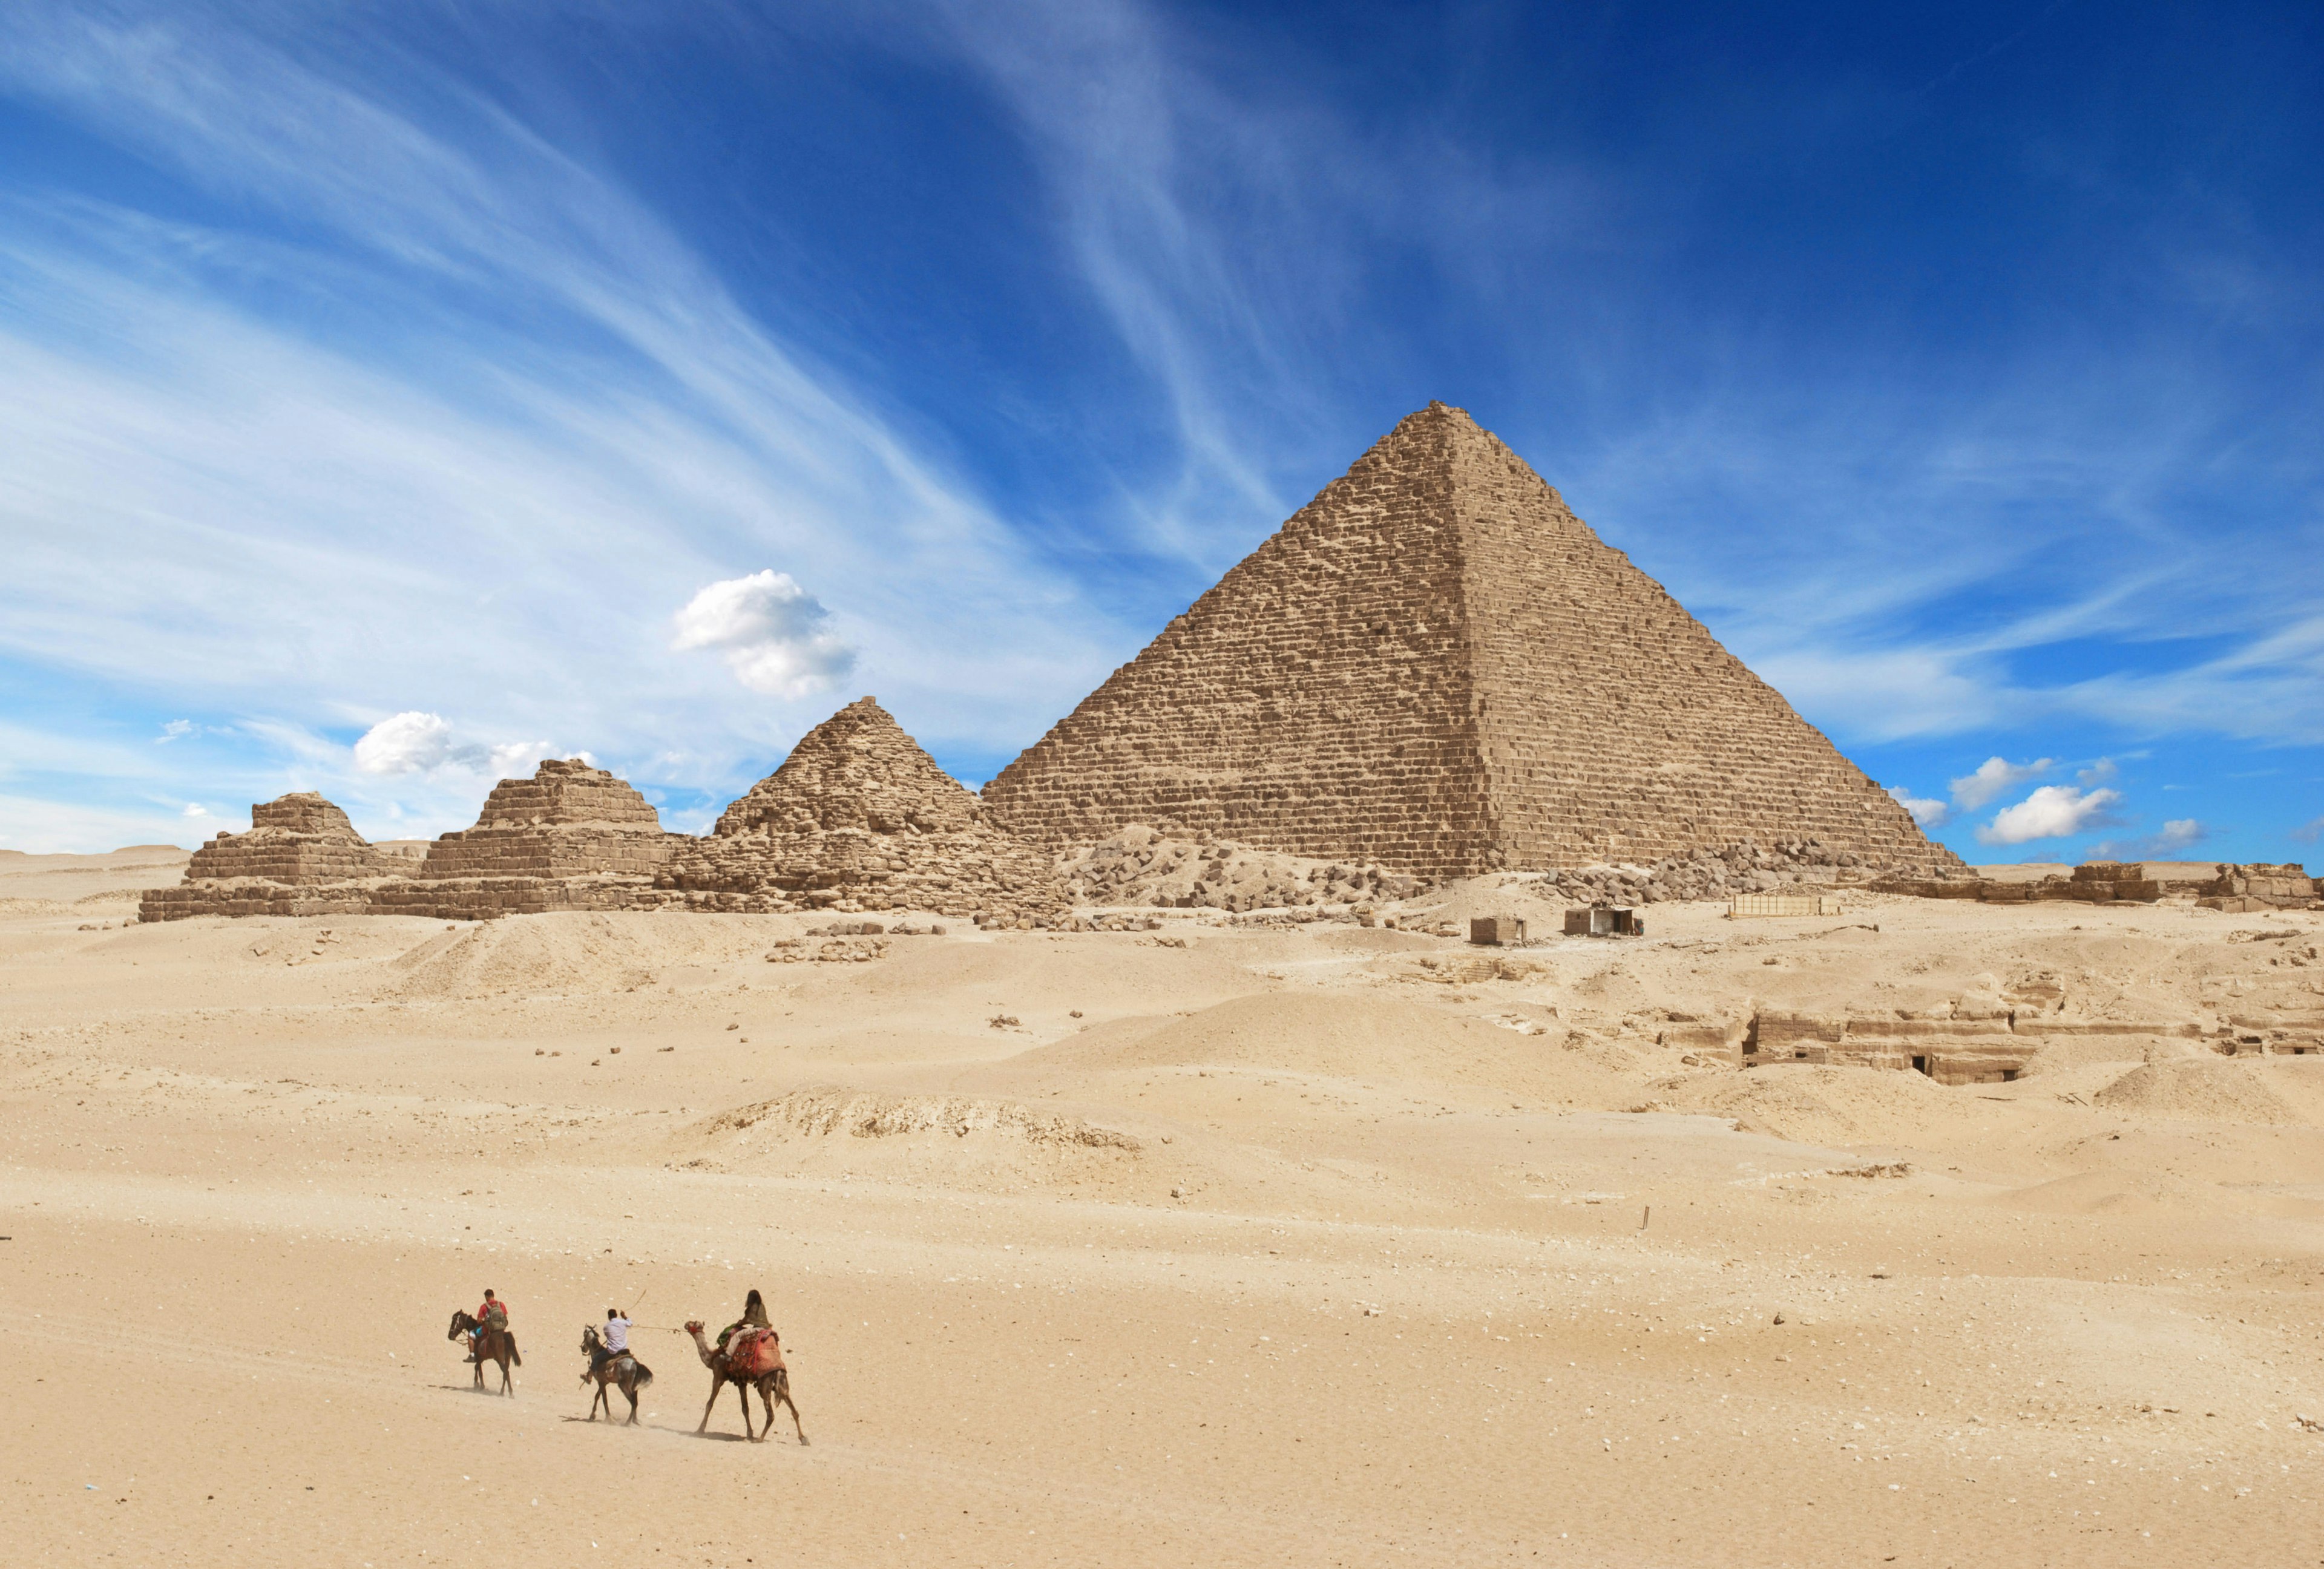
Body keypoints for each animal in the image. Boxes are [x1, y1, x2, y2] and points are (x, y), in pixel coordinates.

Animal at [444, 1311, 518, 1404]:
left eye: (454, 1322)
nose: (450, 1336)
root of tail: (504, 1335)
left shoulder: (479, 1358)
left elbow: (479, 1370)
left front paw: (479, 1385)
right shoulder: (482, 1358)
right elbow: (477, 1368)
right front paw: (477, 1384)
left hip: (500, 1359)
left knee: (506, 1372)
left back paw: (509, 1393)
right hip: (507, 1358)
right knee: (506, 1373)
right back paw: (503, 1392)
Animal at [581, 1329, 655, 1422]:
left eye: (584, 1335)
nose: (583, 1348)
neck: (597, 1352)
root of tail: (635, 1364)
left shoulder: (601, 1382)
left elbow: (603, 1399)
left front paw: (608, 1418)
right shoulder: (604, 1383)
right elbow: (598, 1396)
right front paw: (593, 1415)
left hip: (624, 1386)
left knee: (633, 1403)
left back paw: (628, 1422)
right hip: (634, 1387)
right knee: (636, 1402)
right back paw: (635, 1420)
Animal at [678, 1320, 809, 1441]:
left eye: (693, 1323)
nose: (686, 1323)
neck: (712, 1357)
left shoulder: (718, 1377)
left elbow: (709, 1404)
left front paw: (700, 1430)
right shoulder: (741, 1382)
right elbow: (745, 1408)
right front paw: (749, 1434)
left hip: (765, 1383)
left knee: (771, 1414)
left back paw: (760, 1439)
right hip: (782, 1382)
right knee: (793, 1409)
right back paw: (803, 1438)